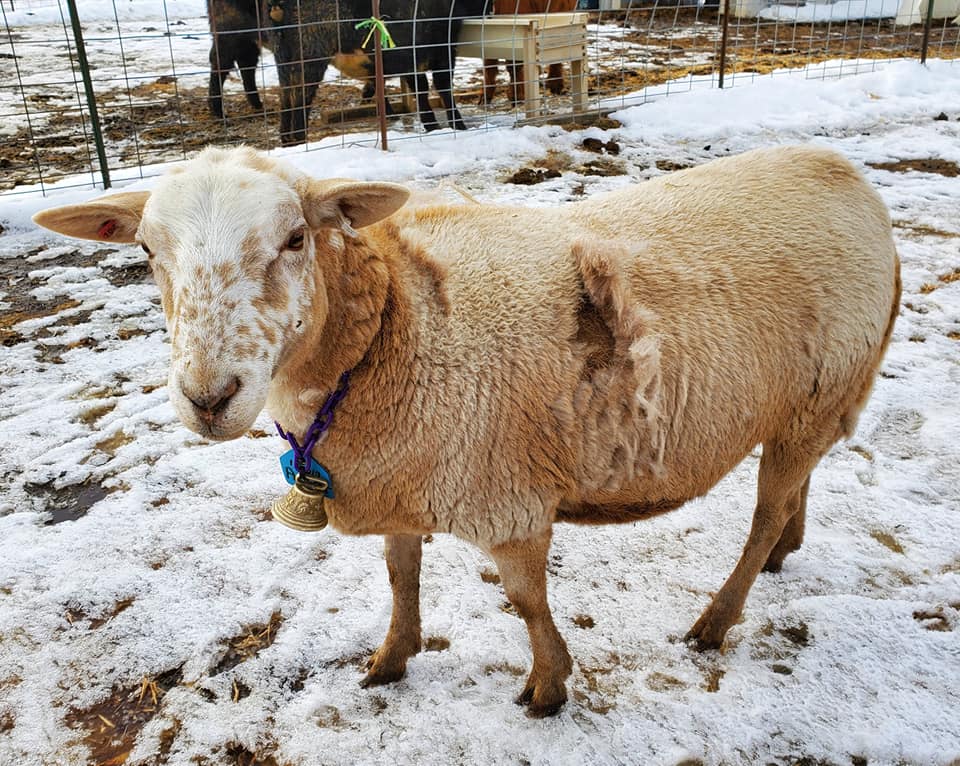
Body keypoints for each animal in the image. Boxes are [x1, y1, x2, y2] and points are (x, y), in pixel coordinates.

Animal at [32, 144, 901, 717]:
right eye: (147, 251)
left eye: (295, 238)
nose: (208, 398)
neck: (396, 327)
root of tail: (847, 175)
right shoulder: (397, 476)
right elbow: (400, 575)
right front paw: (391, 658)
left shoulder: (506, 495)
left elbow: (525, 601)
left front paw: (548, 686)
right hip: (814, 398)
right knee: (798, 485)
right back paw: (787, 549)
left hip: (823, 386)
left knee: (761, 516)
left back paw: (717, 621)